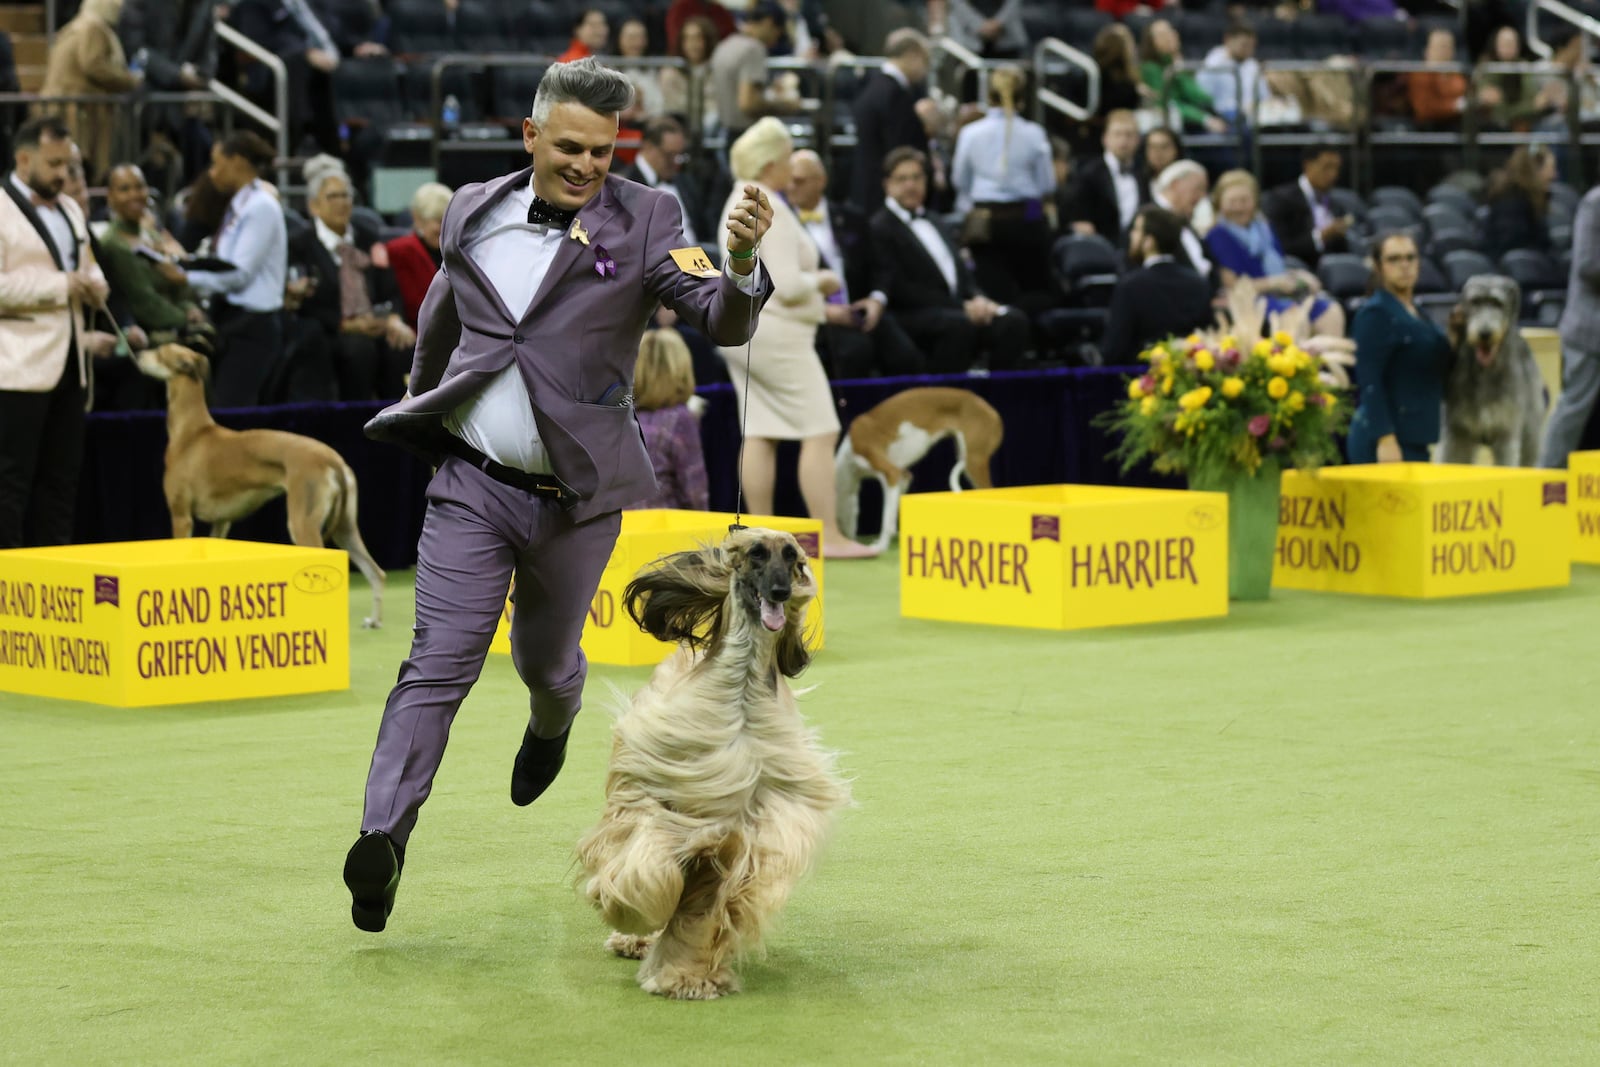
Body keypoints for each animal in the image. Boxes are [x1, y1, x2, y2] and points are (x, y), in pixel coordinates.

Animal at [135, 343, 387, 627]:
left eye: (160, 352)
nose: (138, 353)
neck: (191, 433)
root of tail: (333, 459)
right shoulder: (221, 522)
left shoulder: (181, 516)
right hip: (345, 528)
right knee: (376, 572)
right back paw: (373, 621)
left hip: (303, 524)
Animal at [838, 385, 998, 550]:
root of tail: (990, 410)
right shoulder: (903, 477)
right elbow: (893, 513)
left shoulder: (890, 473)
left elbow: (886, 519)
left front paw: (880, 546)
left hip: (974, 462)